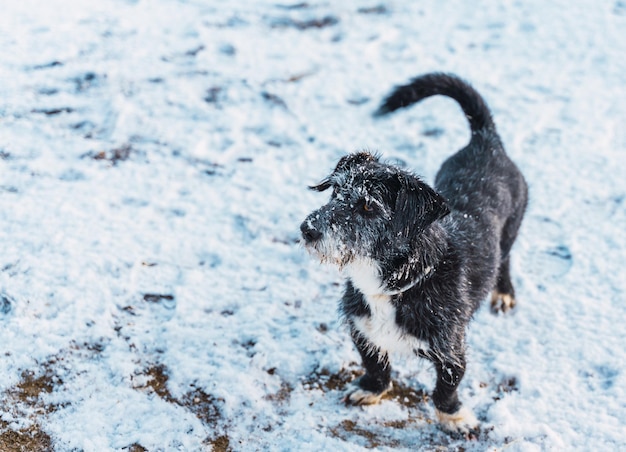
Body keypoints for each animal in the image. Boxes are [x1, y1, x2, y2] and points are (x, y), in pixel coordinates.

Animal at [300, 74, 524, 434]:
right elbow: (375, 364)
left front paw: (454, 416)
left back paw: (503, 292)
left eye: (368, 206)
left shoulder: (451, 347)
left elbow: (446, 386)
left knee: (505, 260)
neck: (391, 284)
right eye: (335, 191)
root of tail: (485, 139)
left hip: (512, 229)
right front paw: (371, 390)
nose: (307, 229)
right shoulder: (361, 329)